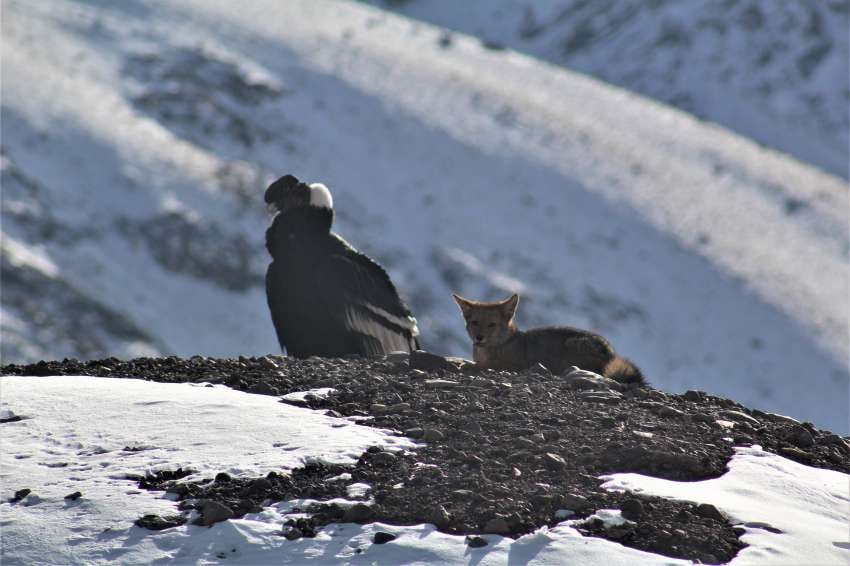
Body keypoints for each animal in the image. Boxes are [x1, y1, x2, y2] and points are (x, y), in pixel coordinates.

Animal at [450, 292, 644, 386]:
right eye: (475, 323)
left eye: (492, 324)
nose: (479, 337)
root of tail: (611, 353)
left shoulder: (516, 365)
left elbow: (489, 364)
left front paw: (469, 365)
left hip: (571, 345)